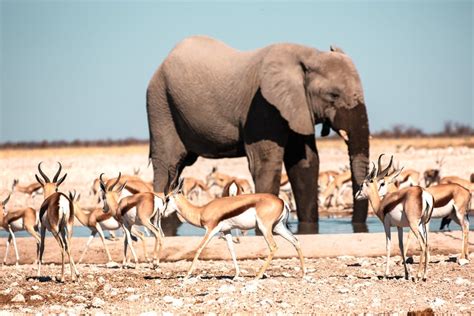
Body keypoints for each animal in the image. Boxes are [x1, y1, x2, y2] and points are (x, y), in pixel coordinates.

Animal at [147, 36, 370, 232]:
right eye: (333, 95)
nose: (357, 226)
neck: (309, 55)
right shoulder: (262, 107)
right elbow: (266, 164)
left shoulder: (297, 108)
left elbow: (305, 164)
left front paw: (308, 230)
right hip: (160, 105)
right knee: (167, 164)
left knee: (177, 169)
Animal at [161, 179, 306, 280]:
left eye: (167, 199)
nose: (162, 213)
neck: (201, 211)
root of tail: (282, 202)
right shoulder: (227, 230)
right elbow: (231, 250)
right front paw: (236, 275)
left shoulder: (211, 230)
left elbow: (199, 248)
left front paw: (186, 275)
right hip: (278, 227)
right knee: (296, 241)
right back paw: (304, 274)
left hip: (265, 228)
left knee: (273, 246)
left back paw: (258, 275)